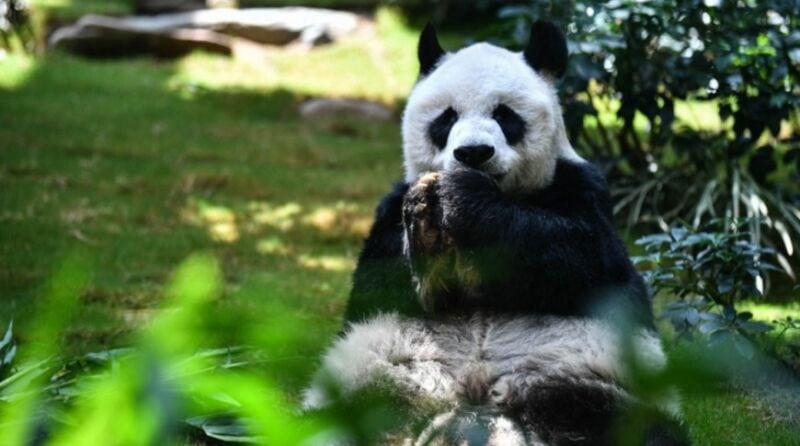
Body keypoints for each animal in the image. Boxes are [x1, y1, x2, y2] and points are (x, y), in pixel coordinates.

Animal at [304, 21, 690, 445]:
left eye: (505, 115)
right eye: (446, 118)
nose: (473, 153)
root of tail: (469, 409)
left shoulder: (582, 189)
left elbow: (582, 257)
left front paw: (463, 199)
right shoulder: (389, 213)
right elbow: (383, 280)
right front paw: (430, 231)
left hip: (585, 380)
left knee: (633, 427)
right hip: (375, 382)